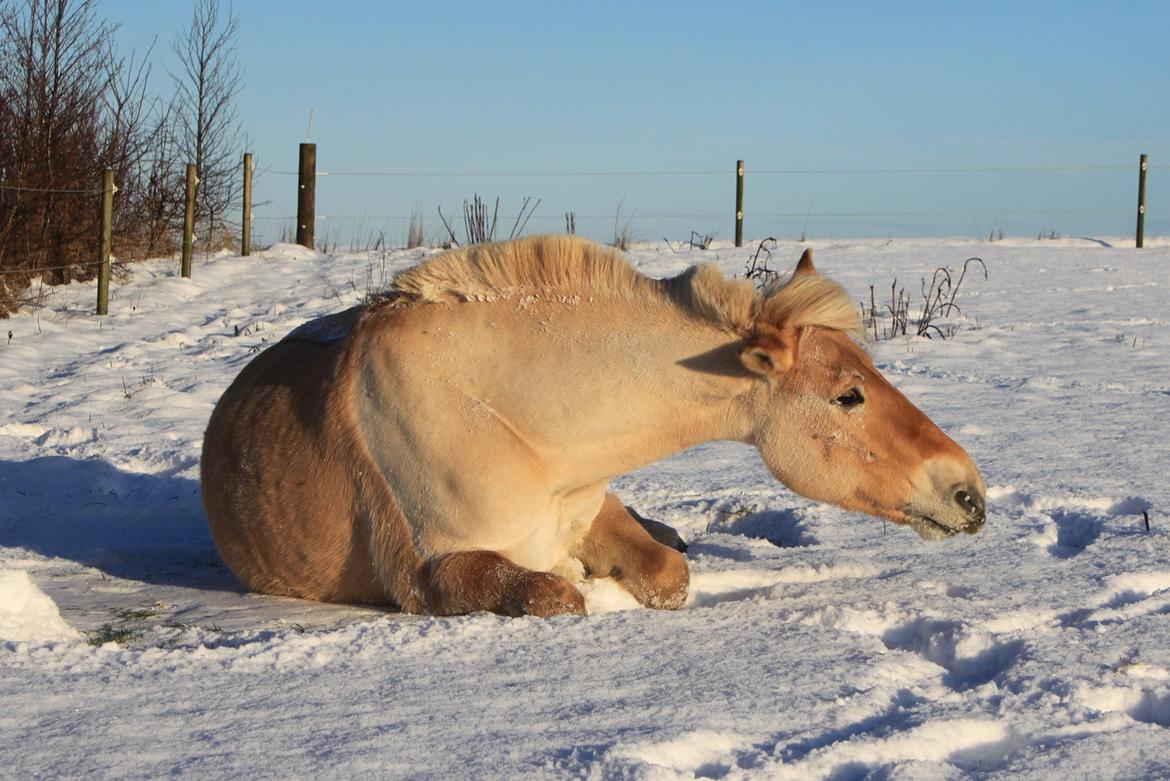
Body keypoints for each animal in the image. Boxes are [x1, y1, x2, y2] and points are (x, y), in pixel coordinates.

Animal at [203, 235, 987, 612]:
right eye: (849, 396)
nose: (970, 494)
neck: (514, 417)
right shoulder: (432, 573)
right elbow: (556, 591)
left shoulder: (593, 506)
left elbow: (668, 571)